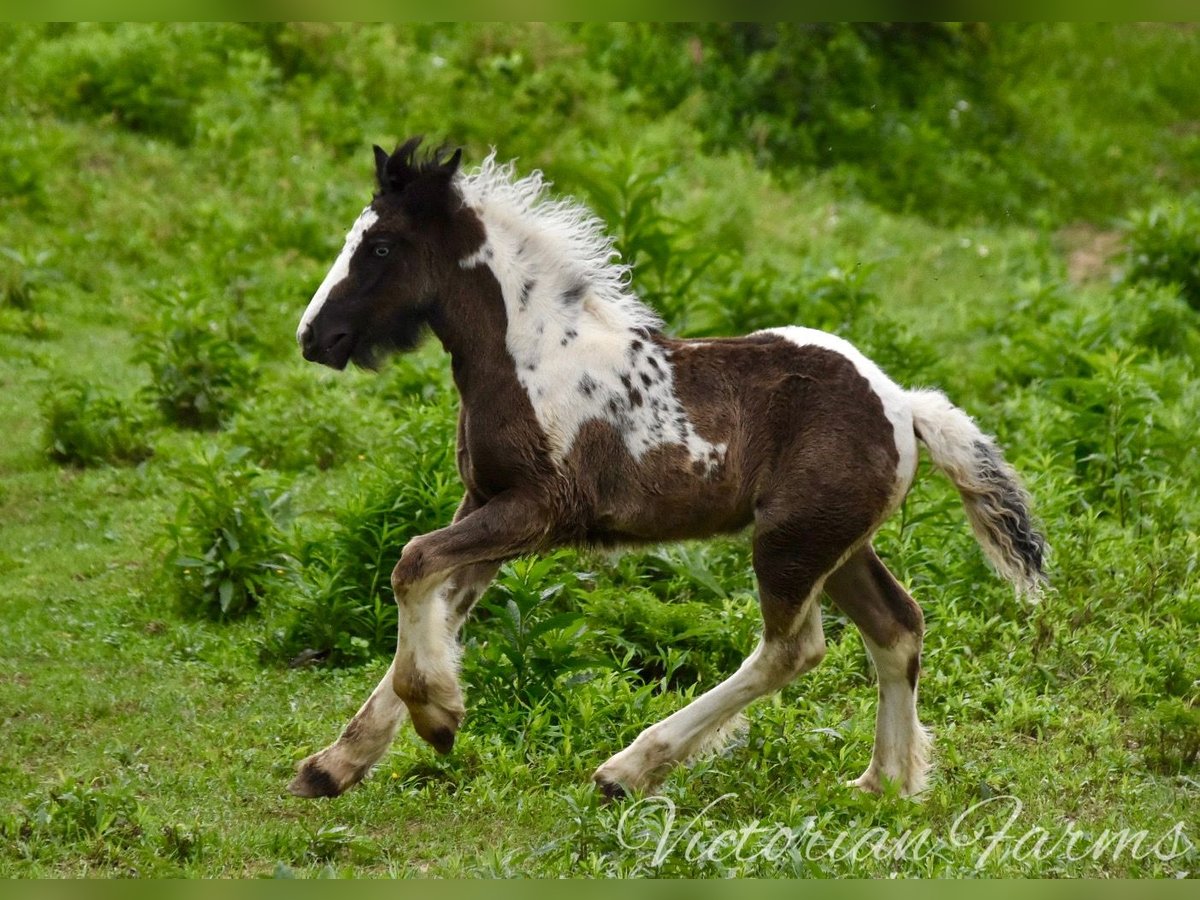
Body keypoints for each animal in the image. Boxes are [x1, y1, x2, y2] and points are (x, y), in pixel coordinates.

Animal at [285, 137, 1046, 801]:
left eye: (381, 247)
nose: (313, 337)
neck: (530, 356)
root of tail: (905, 405)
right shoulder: (485, 504)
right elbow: (436, 596)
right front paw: (335, 765)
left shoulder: (538, 512)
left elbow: (412, 563)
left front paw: (439, 719)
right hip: (837, 544)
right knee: (896, 627)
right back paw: (884, 784)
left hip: (791, 543)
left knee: (793, 649)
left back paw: (627, 770)